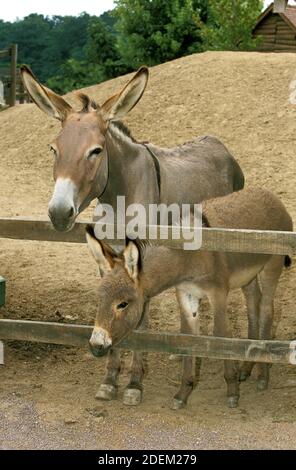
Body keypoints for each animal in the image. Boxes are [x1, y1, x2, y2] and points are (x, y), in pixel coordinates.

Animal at [85, 187, 292, 408]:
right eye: (99, 299)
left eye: (122, 304)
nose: (96, 346)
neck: (188, 256)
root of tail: (270, 194)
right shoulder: (186, 294)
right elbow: (188, 337)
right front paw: (183, 393)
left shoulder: (218, 293)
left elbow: (221, 334)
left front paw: (232, 390)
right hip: (248, 276)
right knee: (253, 305)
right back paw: (247, 368)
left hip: (272, 265)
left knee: (267, 310)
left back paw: (262, 376)